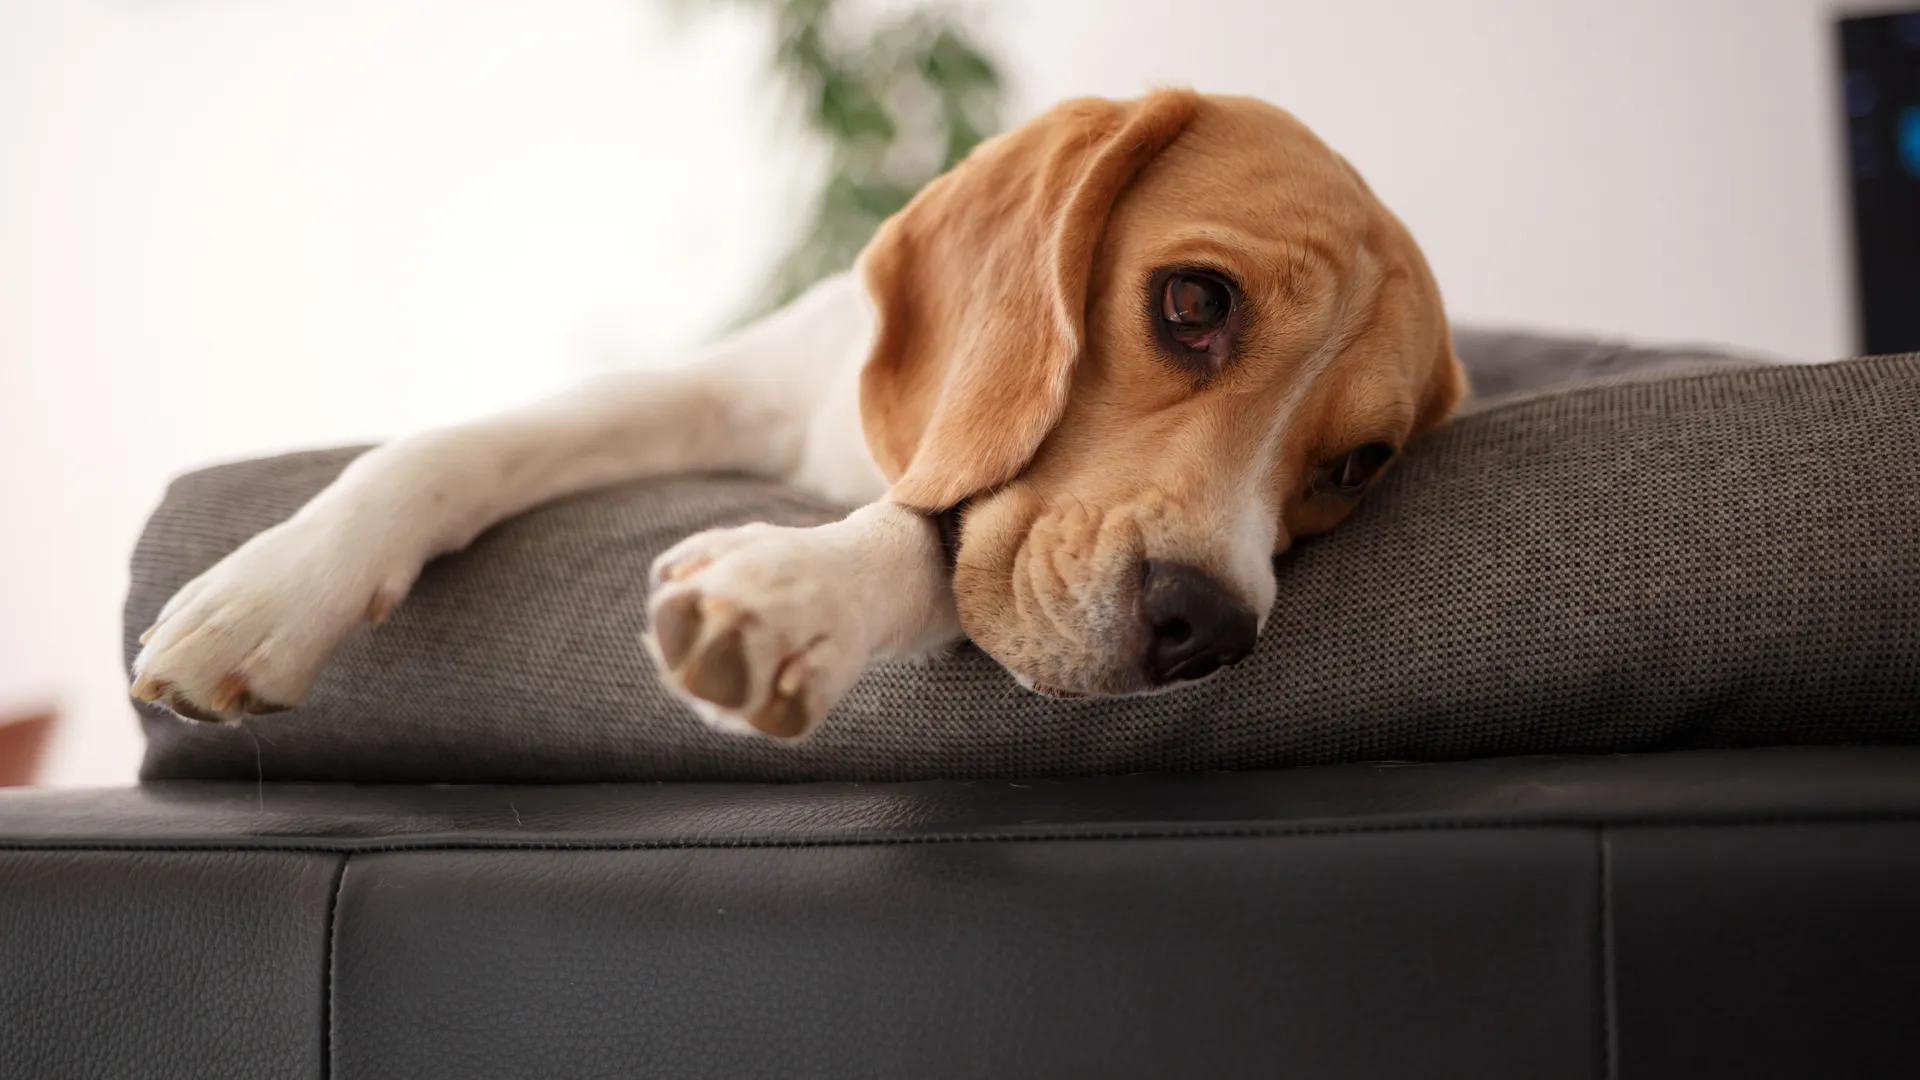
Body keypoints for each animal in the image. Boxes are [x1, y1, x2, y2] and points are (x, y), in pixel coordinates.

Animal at [127, 88, 1459, 734]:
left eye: (1357, 465)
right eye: (1194, 301)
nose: (1207, 627)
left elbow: (917, 542)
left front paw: (789, 595)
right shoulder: (709, 392)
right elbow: (458, 446)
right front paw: (271, 591)